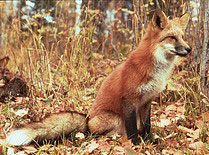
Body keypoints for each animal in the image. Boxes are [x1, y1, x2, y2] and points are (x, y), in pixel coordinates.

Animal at [5, 9, 191, 145]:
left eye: (182, 37)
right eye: (172, 37)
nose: (189, 49)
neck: (155, 67)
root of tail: (87, 121)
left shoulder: (146, 101)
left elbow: (147, 125)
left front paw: (148, 140)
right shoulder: (129, 99)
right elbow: (132, 128)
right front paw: (136, 144)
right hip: (112, 118)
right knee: (94, 134)